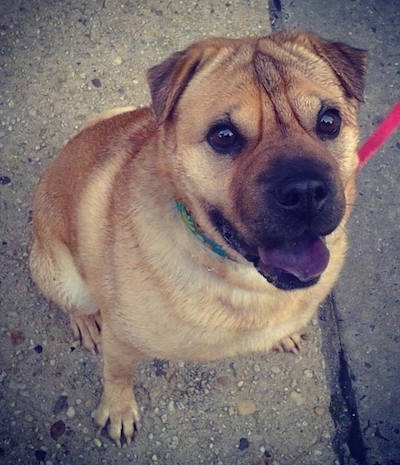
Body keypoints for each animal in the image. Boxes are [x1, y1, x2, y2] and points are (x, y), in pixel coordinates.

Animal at [29, 30, 368, 444]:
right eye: (223, 136)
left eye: (329, 121)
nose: (304, 190)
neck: (240, 280)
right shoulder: (121, 340)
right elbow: (117, 374)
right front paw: (119, 409)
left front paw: (283, 334)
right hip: (66, 279)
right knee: (74, 304)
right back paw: (84, 322)